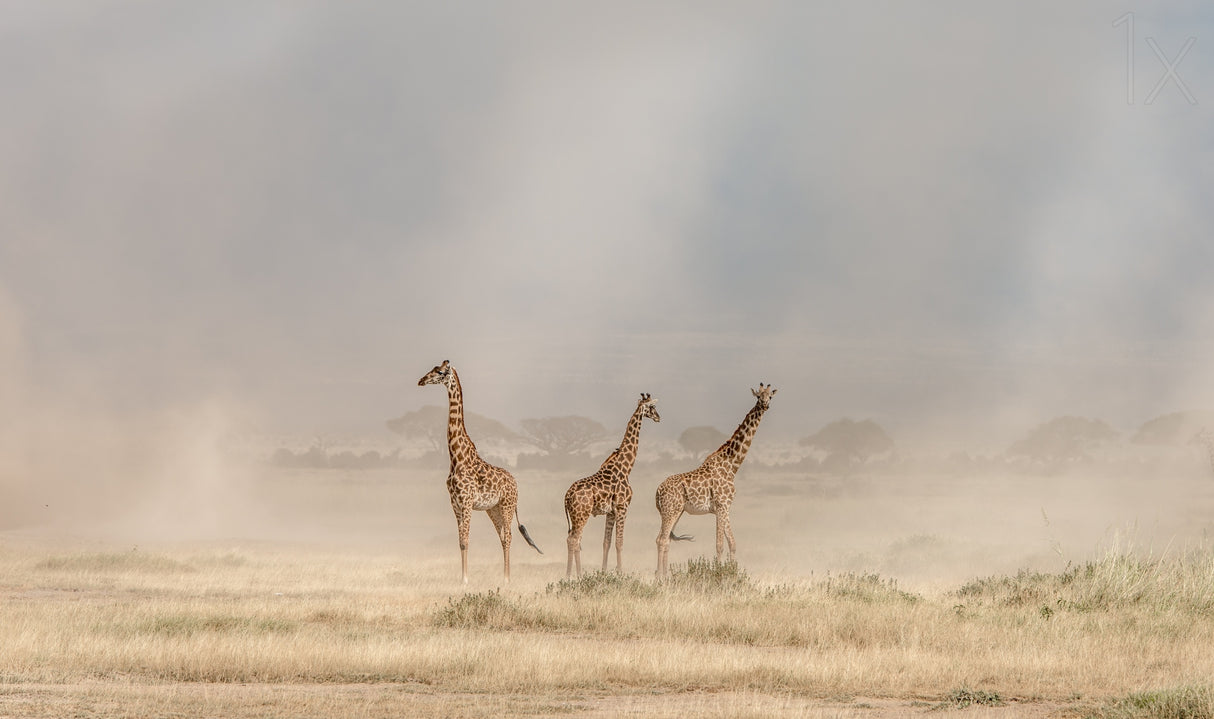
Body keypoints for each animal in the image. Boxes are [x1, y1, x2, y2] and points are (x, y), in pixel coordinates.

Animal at [422, 359, 546, 582]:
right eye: (433, 369)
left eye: (441, 372)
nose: (421, 380)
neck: (457, 457)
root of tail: (516, 483)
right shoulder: (455, 504)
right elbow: (460, 541)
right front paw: (462, 579)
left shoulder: (467, 502)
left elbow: (466, 540)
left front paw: (465, 580)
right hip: (493, 509)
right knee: (503, 538)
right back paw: (504, 577)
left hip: (507, 506)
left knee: (509, 536)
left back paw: (506, 579)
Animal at [563, 393, 660, 578]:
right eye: (652, 407)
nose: (659, 417)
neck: (625, 467)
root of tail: (567, 496)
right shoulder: (623, 507)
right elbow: (619, 542)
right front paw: (620, 572)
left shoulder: (611, 512)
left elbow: (606, 542)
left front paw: (603, 572)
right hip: (582, 514)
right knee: (574, 540)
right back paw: (574, 576)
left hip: (575, 516)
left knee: (573, 539)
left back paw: (574, 574)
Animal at [655, 381, 776, 578]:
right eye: (758, 396)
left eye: (770, 396)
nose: (765, 405)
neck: (732, 465)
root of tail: (657, 492)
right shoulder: (721, 505)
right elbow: (719, 545)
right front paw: (719, 573)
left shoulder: (724, 508)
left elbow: (732, 543)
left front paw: (732, 572)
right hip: (670, 510)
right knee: (662, 540)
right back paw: (661, 577)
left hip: (676, 511)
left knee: (664, 540)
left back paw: (665, 576)